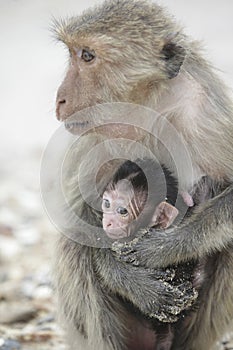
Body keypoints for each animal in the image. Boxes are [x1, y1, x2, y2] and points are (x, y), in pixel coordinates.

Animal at [53, 0, 233, 350]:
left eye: (88, 56)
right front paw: (132, 281)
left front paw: (162, 248)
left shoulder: (207, 115)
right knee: (75, 245)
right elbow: (82, 216)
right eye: (73, 53)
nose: (60, 99)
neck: (150, 104)